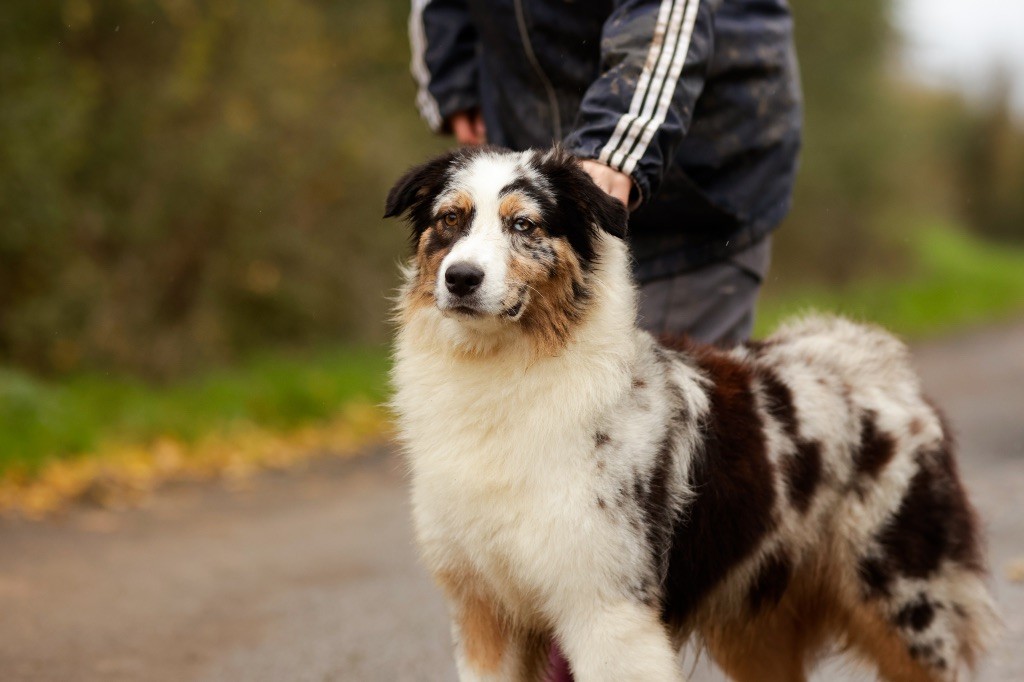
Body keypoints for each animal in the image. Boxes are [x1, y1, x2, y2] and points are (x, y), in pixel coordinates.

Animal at [385, 146, 999, 675]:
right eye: (450, 219)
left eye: (524, 225)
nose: (461, 278)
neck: (503, 375)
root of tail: (874, 353)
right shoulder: (483, 610)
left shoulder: (607, 609)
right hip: (755, 625)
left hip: (906, 602)